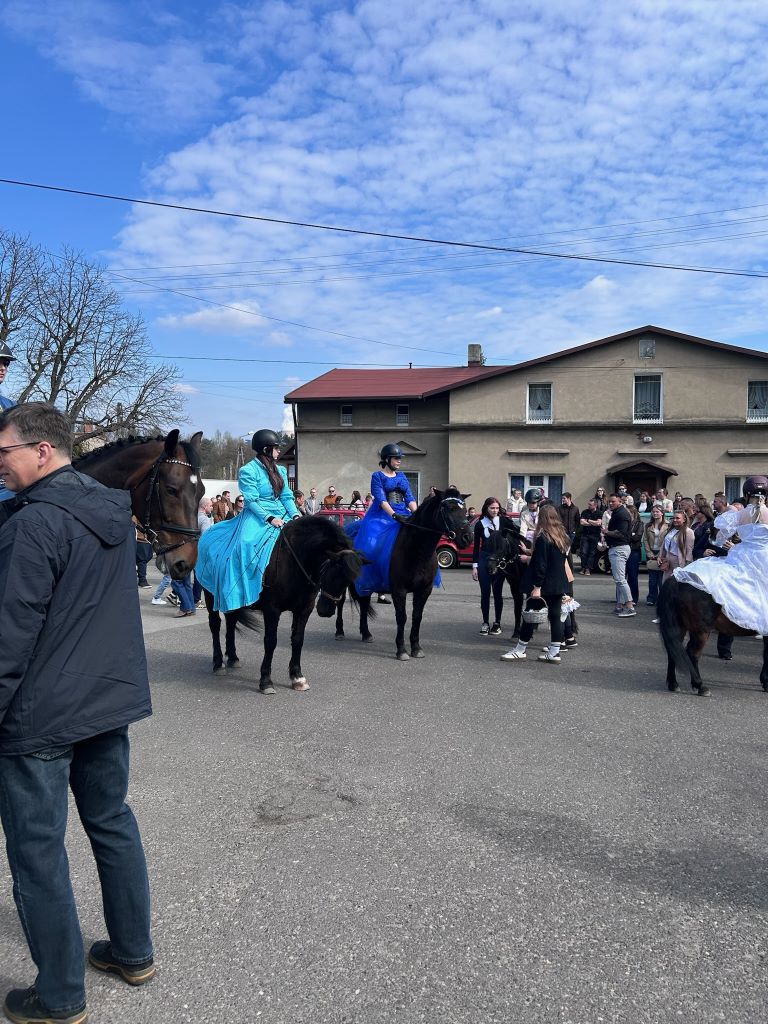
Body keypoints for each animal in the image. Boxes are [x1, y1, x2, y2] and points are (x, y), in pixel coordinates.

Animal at [202, 514, 367, 694]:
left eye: (349, 580)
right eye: (333, 574)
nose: (326, 611)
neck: (294, 560)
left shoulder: (304, 610)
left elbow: (298, 639)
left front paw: (297, 677)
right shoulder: (272, 610)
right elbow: (270, 641)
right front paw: (266, 681)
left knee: (231, 622)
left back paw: (233, 657)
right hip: (210, 595)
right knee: (215, 625)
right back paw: (218, 663)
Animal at [334, 488, 473, 660]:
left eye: (465, 510)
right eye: (449, 508)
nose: (468, 538)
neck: (416, 549)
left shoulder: (424, 590)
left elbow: (417, 617)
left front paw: (416, 648)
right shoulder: (399, 590)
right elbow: (402, 617)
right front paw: (401, 650)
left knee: (364, 602)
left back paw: (366, 634)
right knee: (340, 602)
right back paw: (340, 631)